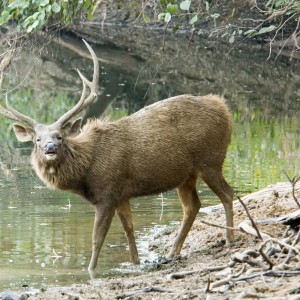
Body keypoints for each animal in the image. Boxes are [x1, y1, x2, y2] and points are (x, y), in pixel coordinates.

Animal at [0, 39, 234, 276]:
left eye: (60, 136)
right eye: (37, 139)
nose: (50, 147)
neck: (85, 172)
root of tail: (224, 109)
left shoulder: (108, 193)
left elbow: (97, 238)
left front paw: (91, 271)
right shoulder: (122, 195)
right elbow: (129, 229)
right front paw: (136, 263)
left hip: (211, 160)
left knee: (227, 194)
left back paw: (229, 239)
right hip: (186, 175)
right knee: (192, 206)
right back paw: (172, 252)